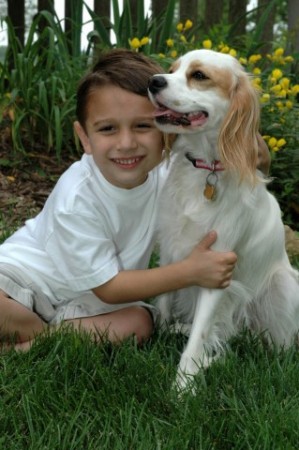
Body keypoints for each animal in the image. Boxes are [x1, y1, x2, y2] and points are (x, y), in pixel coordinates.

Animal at [148, 49, 299, 392]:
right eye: (172, 69)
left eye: (199, 75)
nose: (153, 81)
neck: (205, 169)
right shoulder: (171, 248)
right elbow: (164, 302)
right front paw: (162, 330)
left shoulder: (217, 266)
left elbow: (200, 333)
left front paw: (183, 386)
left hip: (284, 284)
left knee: (270, 343)